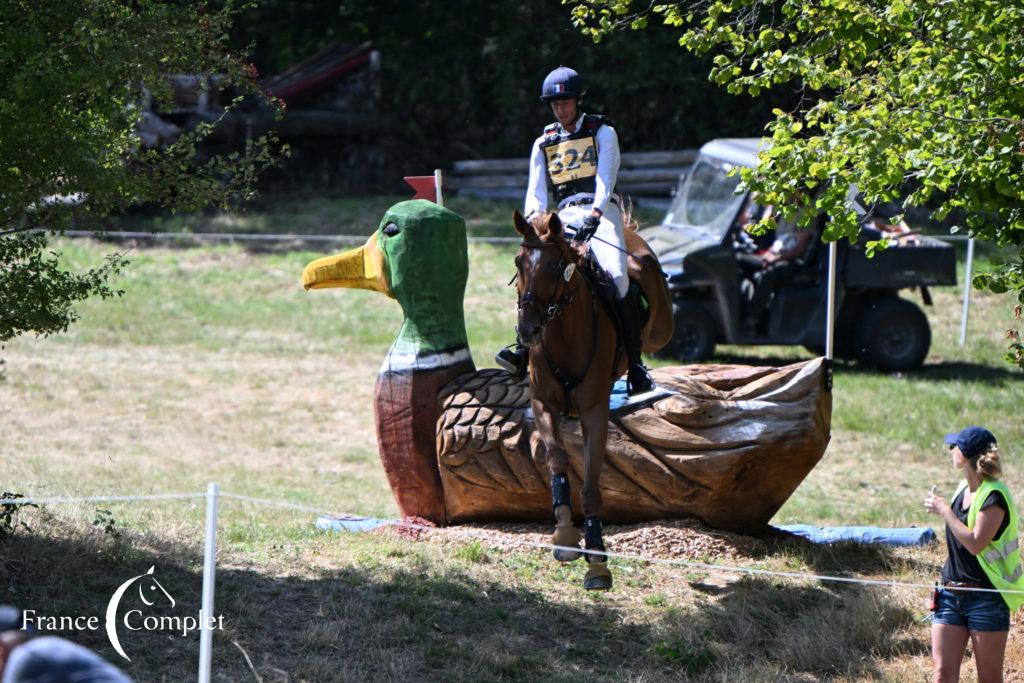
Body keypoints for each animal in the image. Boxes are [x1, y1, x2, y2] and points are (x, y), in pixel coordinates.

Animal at [512, 209, 671, 593]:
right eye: (518, 262)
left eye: (556, 266)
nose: (527, 330)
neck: (564, 335)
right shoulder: (543, 404)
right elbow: (556, 460)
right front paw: (565, 535)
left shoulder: (594, 412)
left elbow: (592, 485)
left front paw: (597, 557)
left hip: (662, 327)